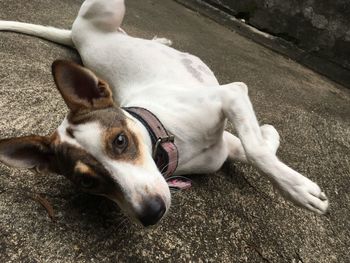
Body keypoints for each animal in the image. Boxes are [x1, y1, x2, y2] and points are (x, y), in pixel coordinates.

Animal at [0, 0, 328, 227]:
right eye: (88, 183)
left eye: (120, 141)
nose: (151, 213)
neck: (167, 134)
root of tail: (74, 36)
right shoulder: (226, 144)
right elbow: (257, 146)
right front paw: (272, 142)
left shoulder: (231, 94)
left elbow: (258, 150)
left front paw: (300, 191)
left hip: (106, 9)